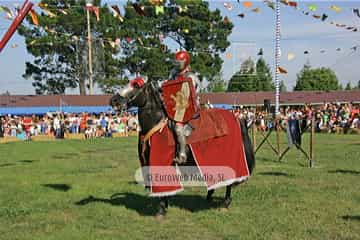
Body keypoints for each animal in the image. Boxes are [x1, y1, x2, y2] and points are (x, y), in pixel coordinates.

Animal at [110, 79, 256, 218]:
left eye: (136, 86)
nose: (114, 100)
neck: (156, 123)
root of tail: (237, 118)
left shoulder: (161, 161)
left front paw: (161, 209)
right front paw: (166, 204)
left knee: (230, 180)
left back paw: (225, 203)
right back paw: (209, 195)